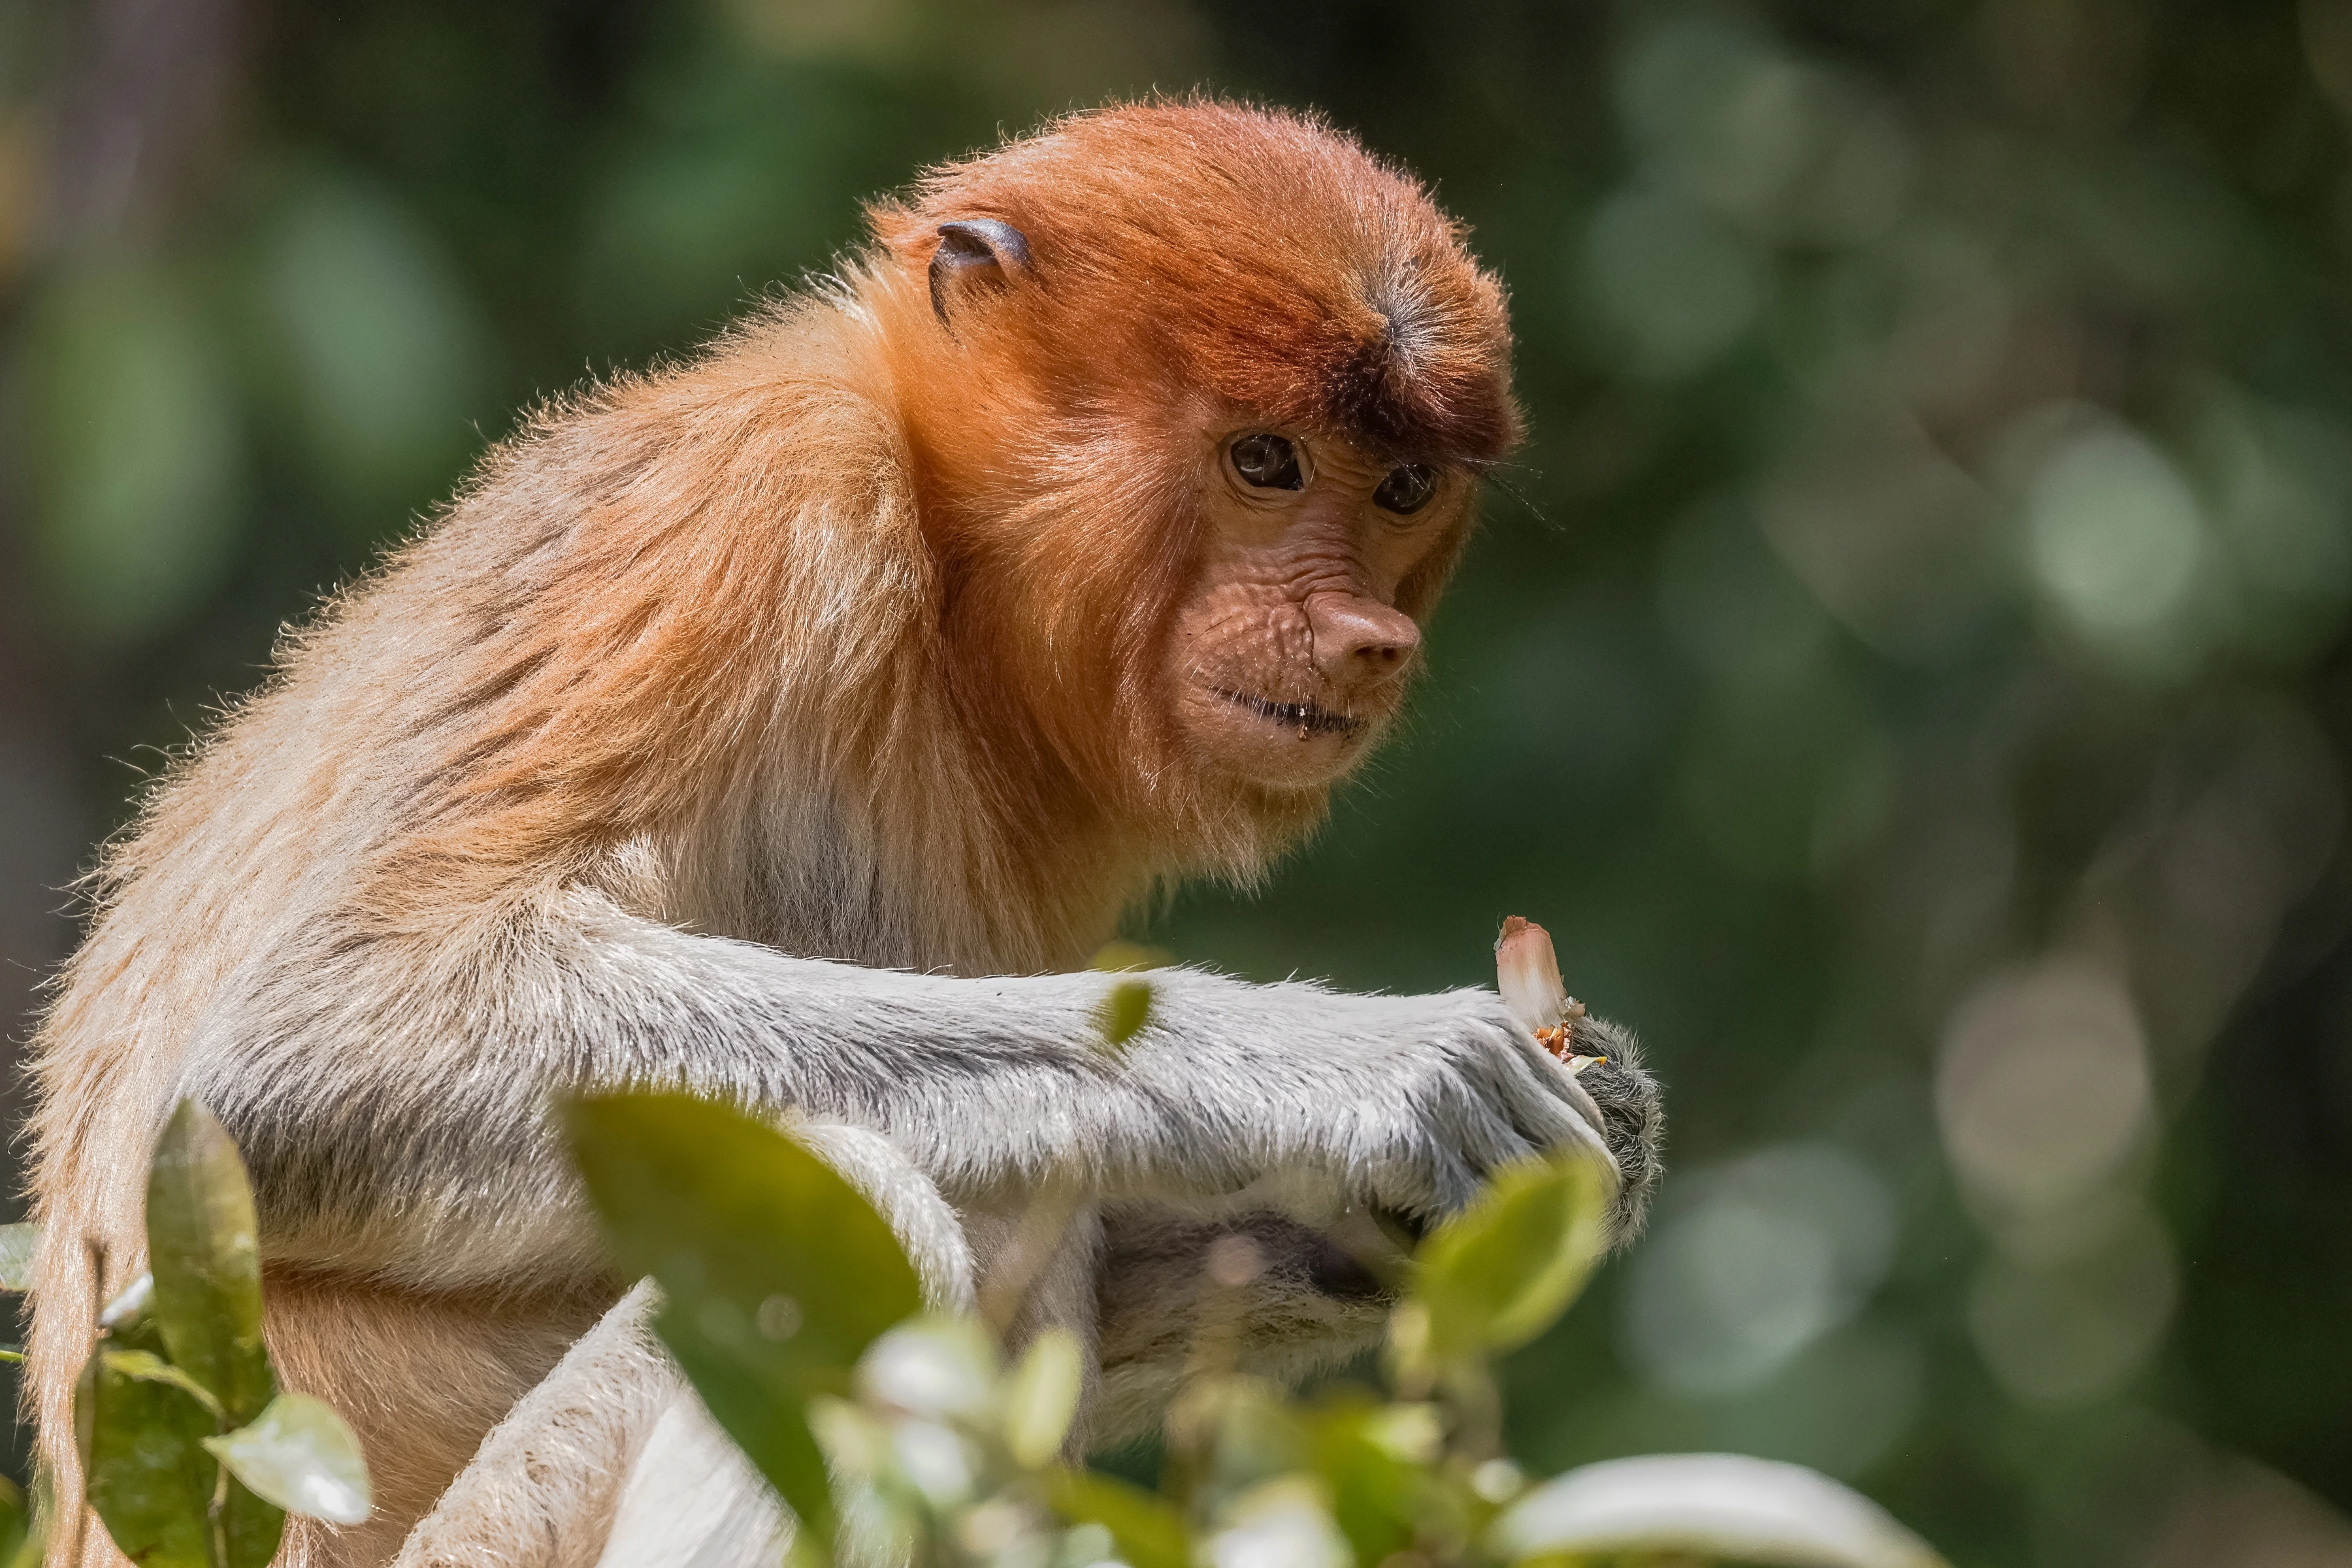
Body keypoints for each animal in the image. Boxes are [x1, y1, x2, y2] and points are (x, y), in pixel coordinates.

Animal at [24, 99, 1663, 1567]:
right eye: (1265, 461)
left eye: (1403, 486)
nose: (1367, 641)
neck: (946, 581)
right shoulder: (748, 508)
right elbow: (301, 1046)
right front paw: (1374, 1073)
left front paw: (1560, 1134)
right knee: (872, 1202)